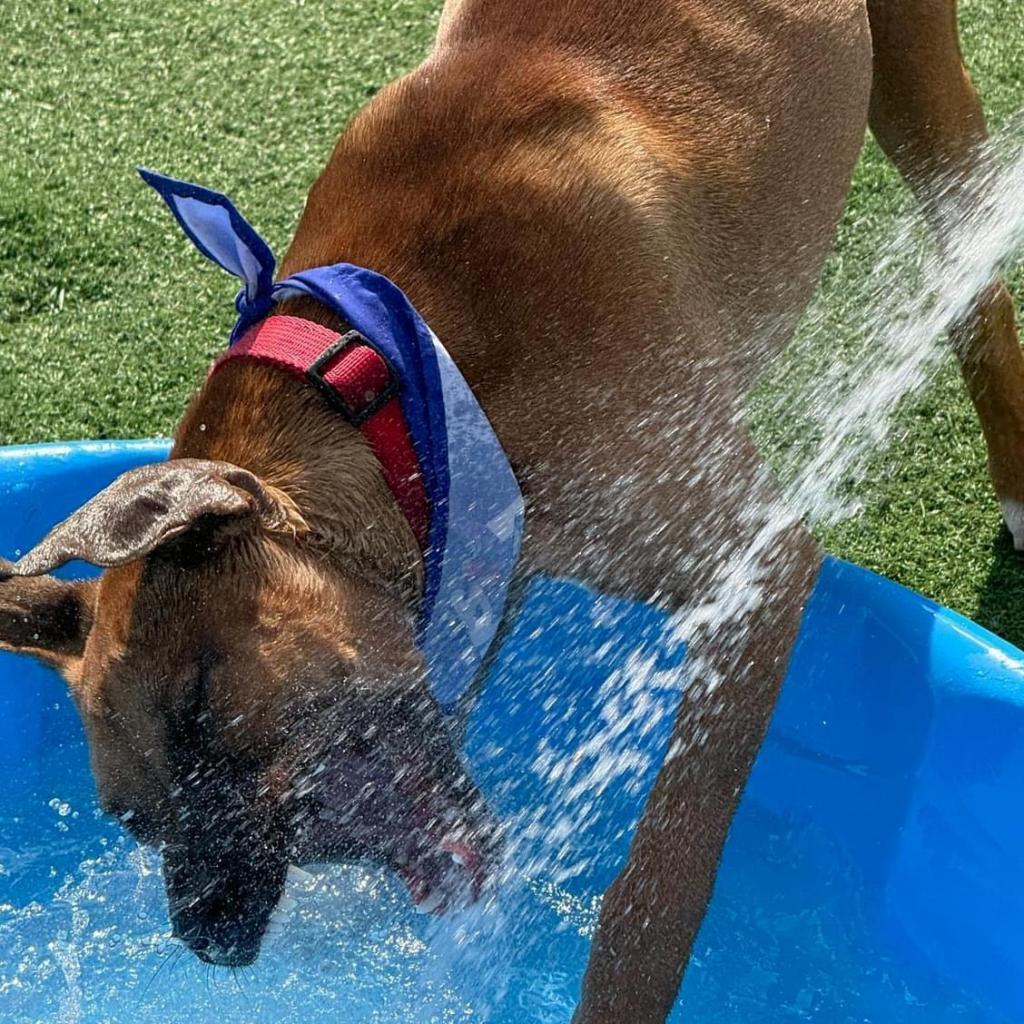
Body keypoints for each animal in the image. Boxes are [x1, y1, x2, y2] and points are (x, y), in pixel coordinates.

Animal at [2, 0, 1024, 1019]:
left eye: (199, 707)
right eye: (133, 822)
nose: (207, 940)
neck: (391, 373)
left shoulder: (755, 573)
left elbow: (657, 888)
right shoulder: (475, 586)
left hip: (923, 89)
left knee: (976, 273)